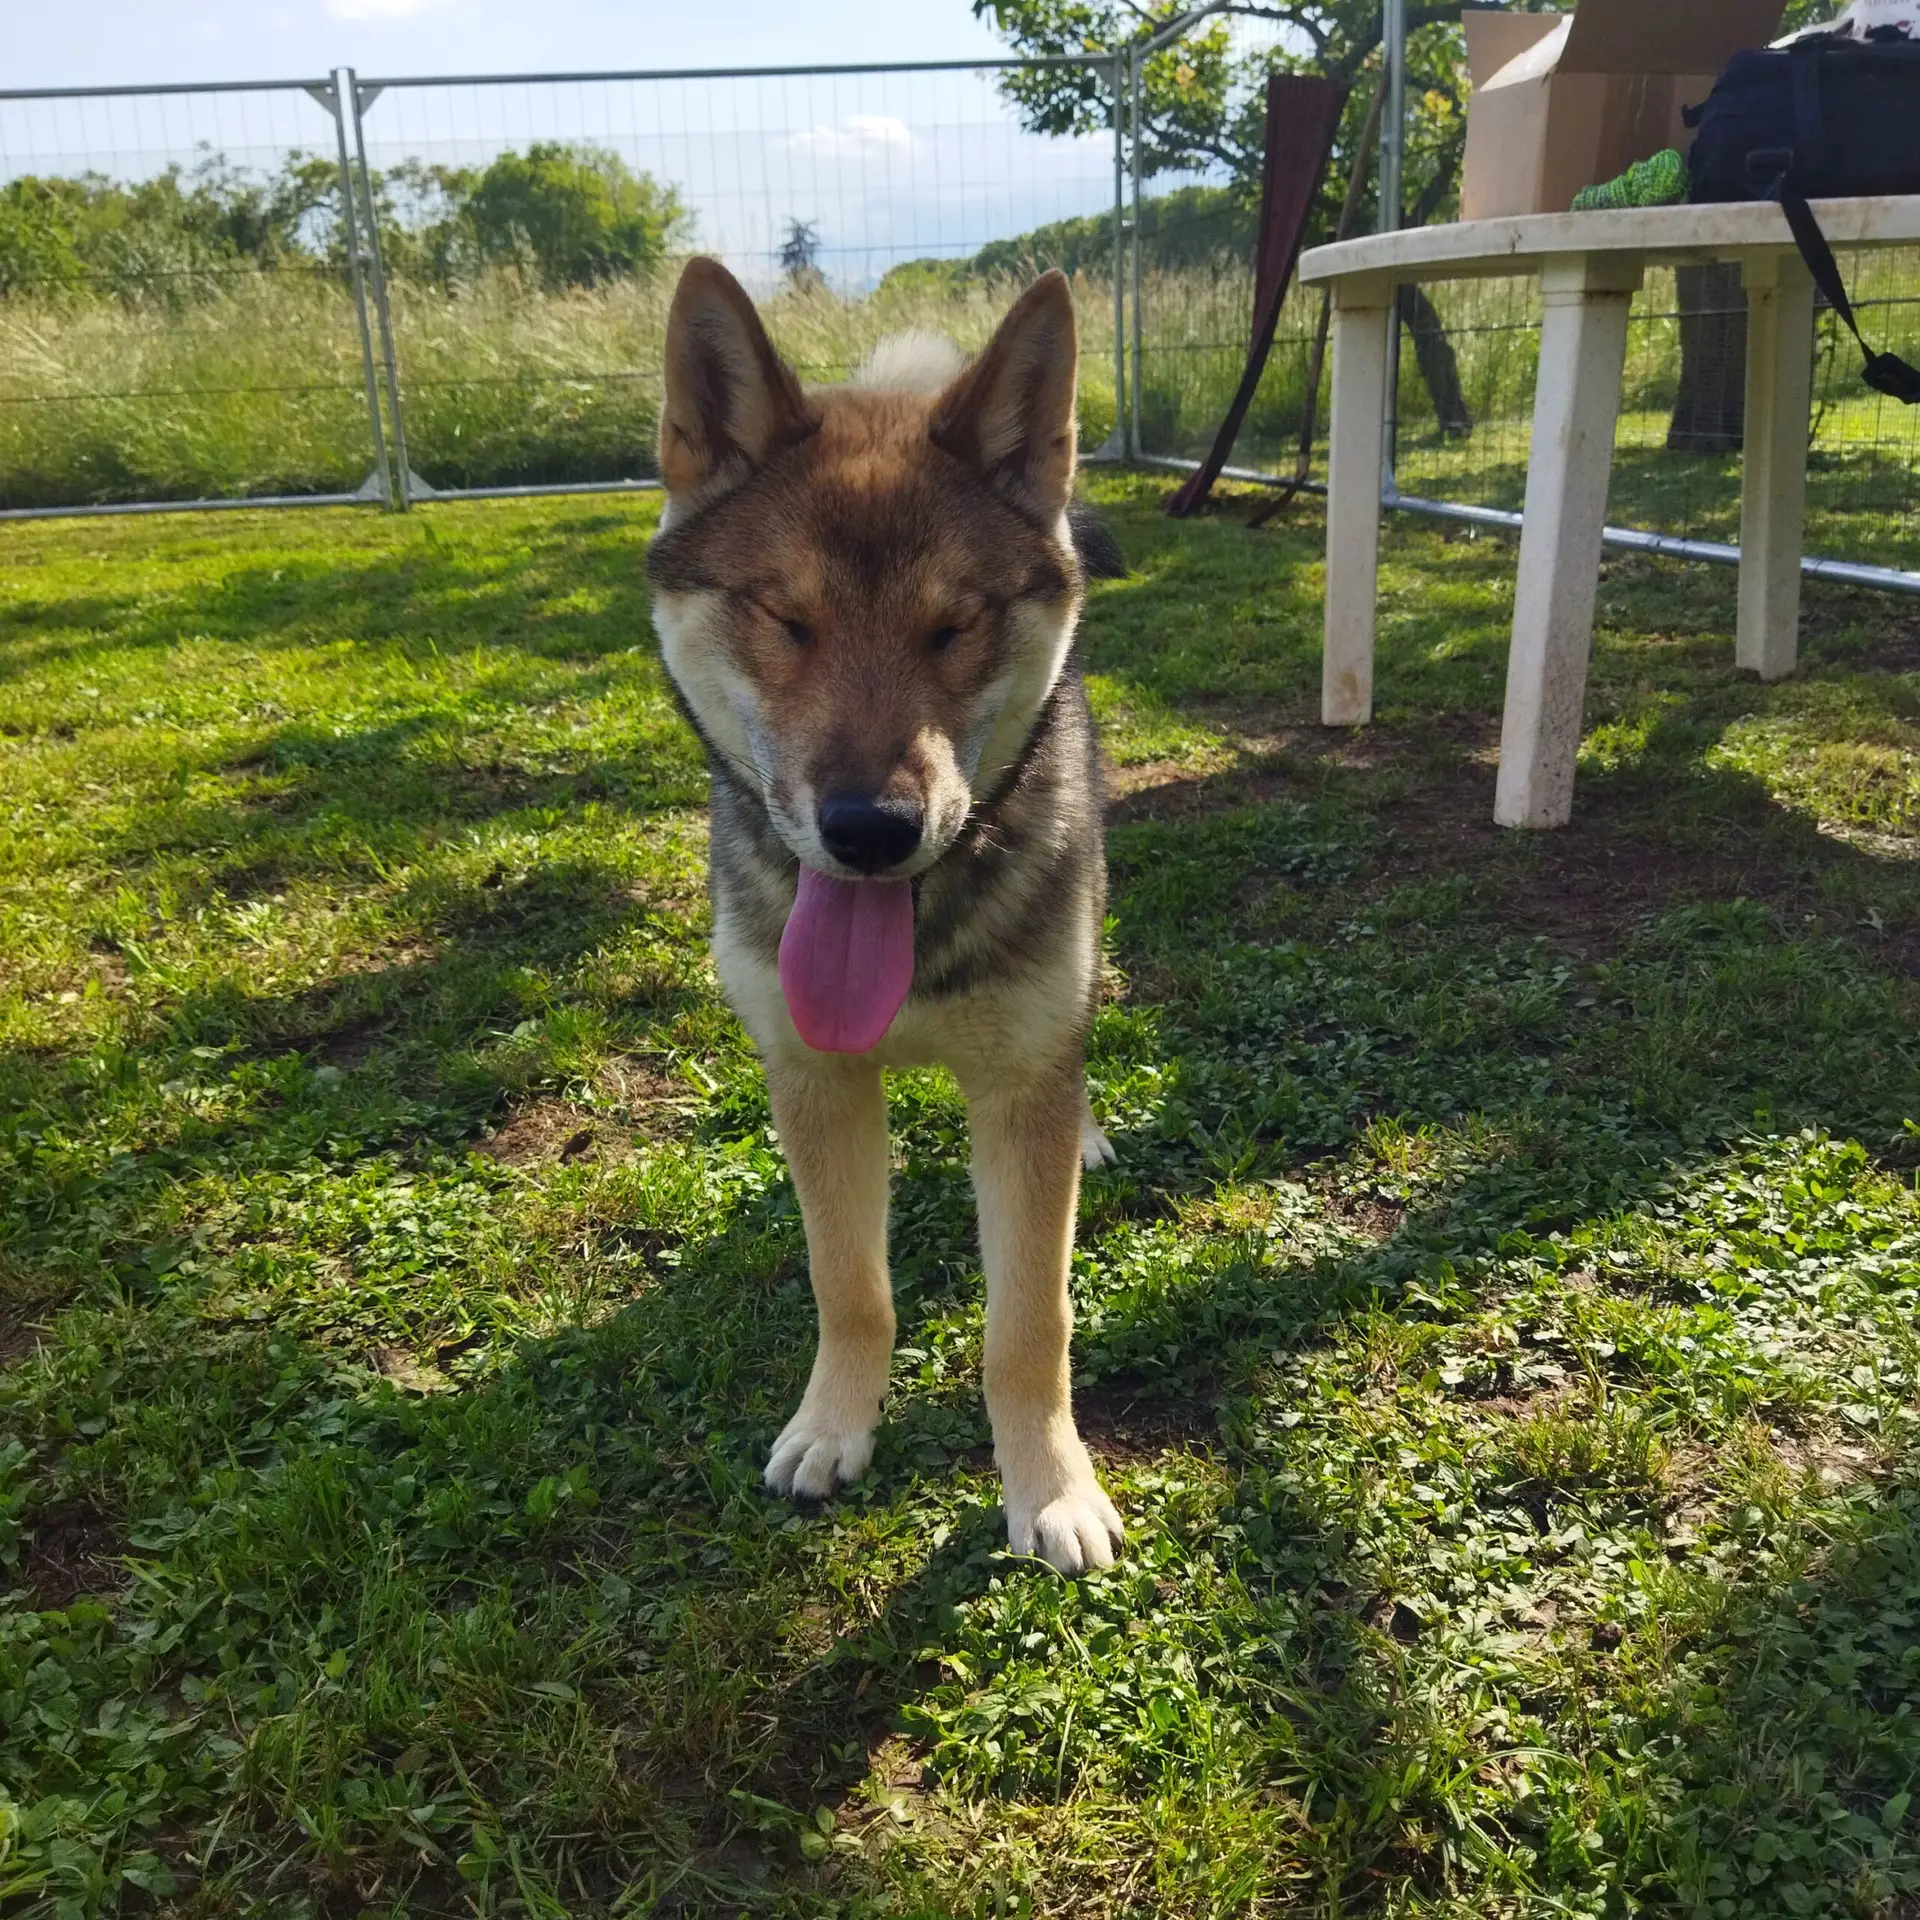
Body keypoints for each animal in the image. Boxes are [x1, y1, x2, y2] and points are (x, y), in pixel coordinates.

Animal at [646, 257, 1127, 1573]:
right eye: (785, 619)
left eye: (953, 626)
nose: (870, 828)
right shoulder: (815, 1078)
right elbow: (847, 1281)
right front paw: (834, 1425)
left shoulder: (1020, 1087)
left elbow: (1030, 1322)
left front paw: (1049, 1485)